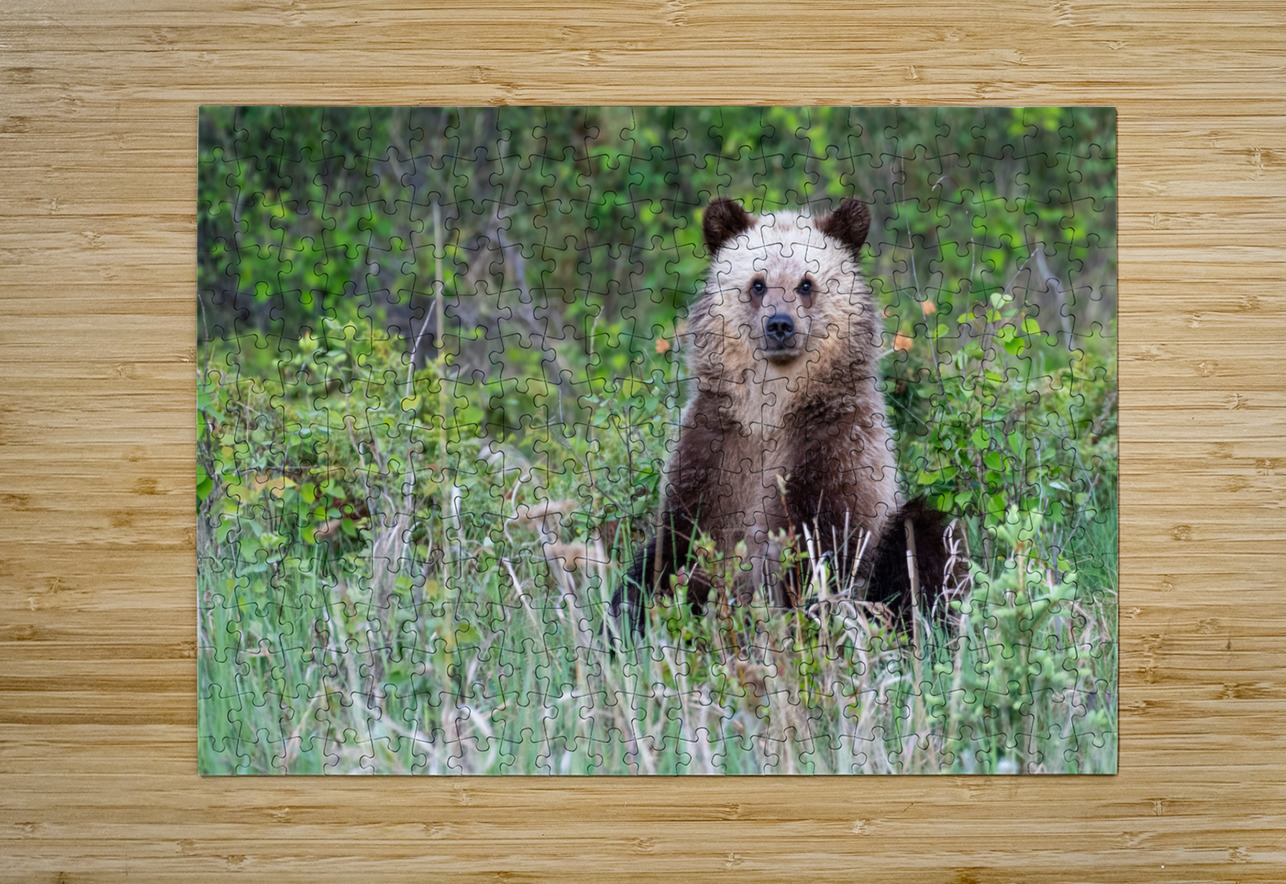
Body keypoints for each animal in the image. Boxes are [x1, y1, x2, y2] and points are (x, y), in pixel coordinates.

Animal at [611, 196, 963, 638]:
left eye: (806, 283)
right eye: (758, 283)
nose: (780, 324)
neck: (772, 408)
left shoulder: (836, 448)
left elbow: (821, 550)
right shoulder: (714, 449)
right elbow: (673, 546)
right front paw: (634, 614)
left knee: (924, 541)